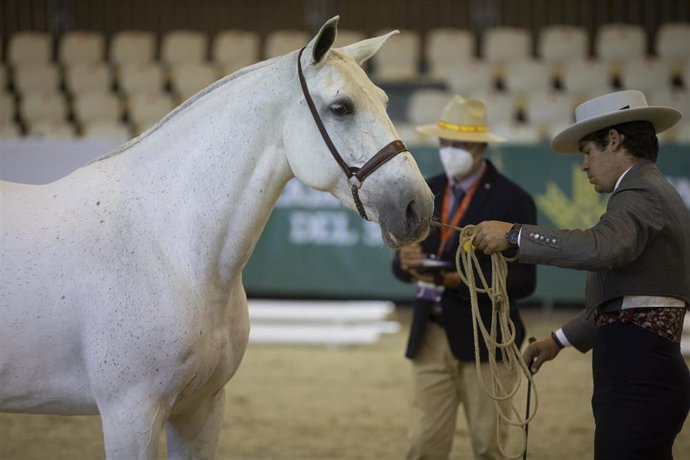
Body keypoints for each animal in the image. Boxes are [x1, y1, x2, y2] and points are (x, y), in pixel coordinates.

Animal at [0, 16, 434, 459]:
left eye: (384, 101)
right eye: (341, 107)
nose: (419, 205)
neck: (171, 250)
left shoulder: (201, 407)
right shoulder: (129, 415)